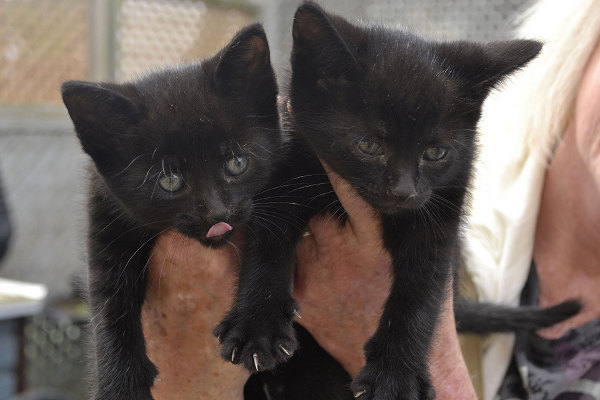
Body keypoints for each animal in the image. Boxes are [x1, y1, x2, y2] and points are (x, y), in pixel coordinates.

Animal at [62, 24, 282, 396]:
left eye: (236, 163)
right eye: (169, 181)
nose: (217, 214)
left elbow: (271, 247)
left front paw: (257, 330)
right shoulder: (106, 218)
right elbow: (109, 300)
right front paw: (119, 385)